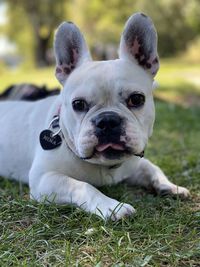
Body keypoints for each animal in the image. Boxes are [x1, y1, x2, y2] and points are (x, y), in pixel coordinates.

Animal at [0, 12, 189, 221]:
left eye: (137, 99)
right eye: (78, 104)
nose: (107, 121)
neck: (104, 166)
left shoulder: (135, 163)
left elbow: (152, 168)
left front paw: (171, 186)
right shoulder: (44, 179)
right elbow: (83, 186)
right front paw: (113, 207)